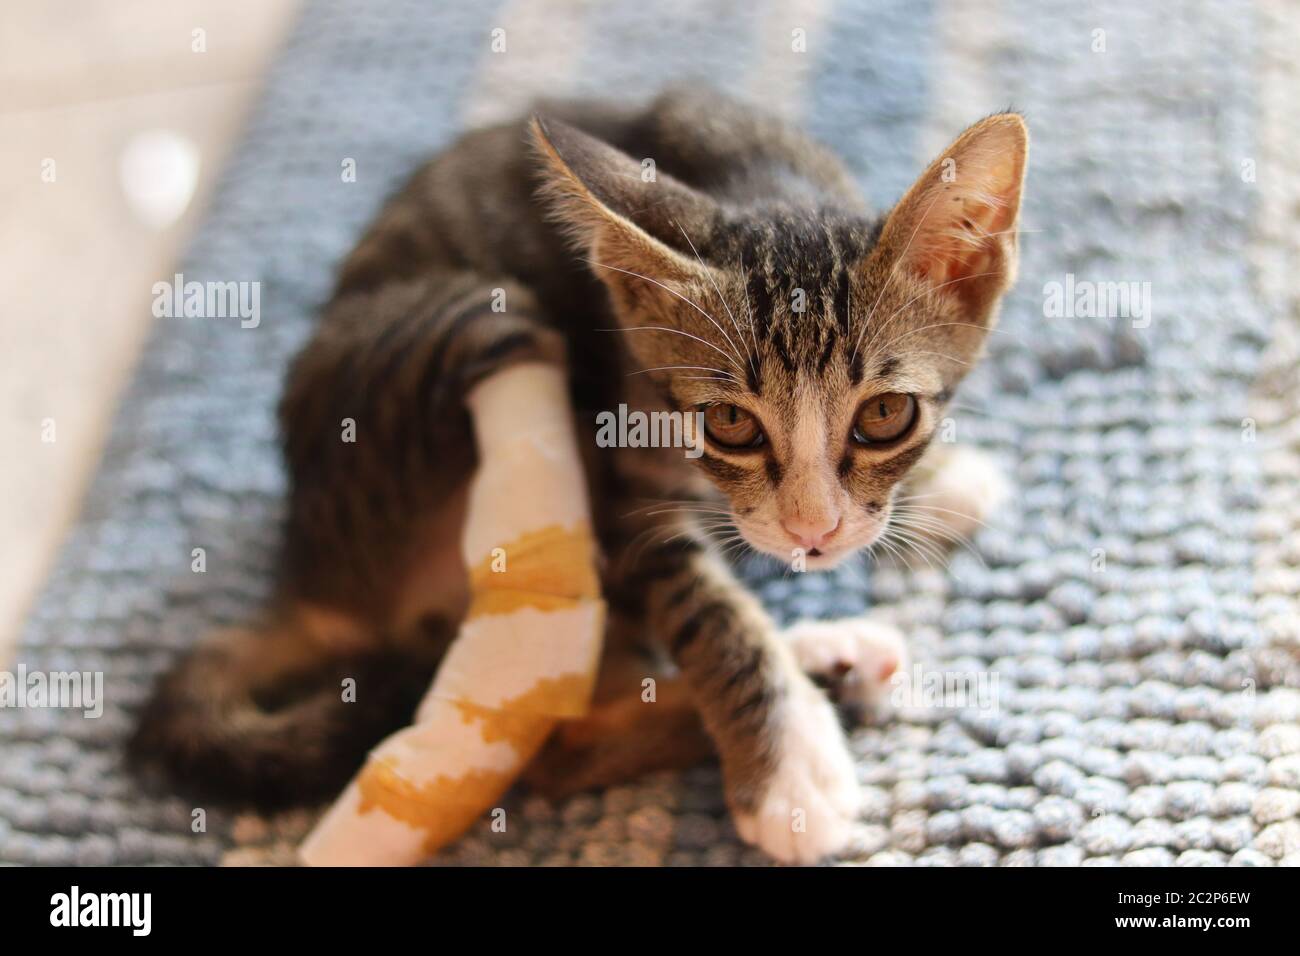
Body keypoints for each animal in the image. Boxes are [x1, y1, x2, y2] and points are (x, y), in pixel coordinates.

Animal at [131, 91, 1024, 868]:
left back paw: (829, 663)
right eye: (729, 423)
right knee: (548, 731)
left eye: (886, 414)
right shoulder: (621, 483)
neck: (763, 180)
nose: (814, 532)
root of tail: (309, 575)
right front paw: (788, 772)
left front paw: (939, 484)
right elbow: (700, 604)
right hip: (472, 321)